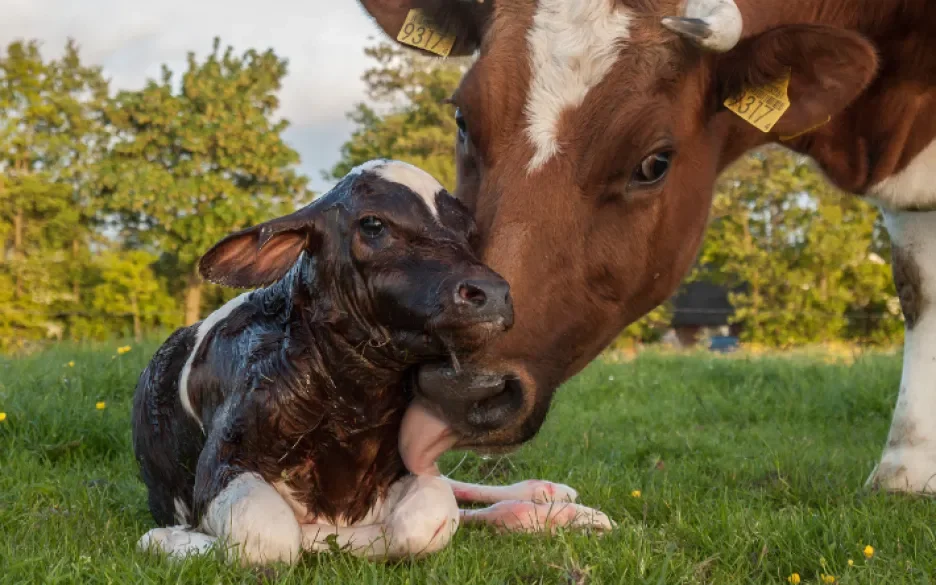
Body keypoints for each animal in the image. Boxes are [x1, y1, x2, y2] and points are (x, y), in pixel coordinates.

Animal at [133, 157, 616, 564]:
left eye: (468, 232)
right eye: (372, 224)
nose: (493, 293)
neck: (353, 402)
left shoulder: (406, 467)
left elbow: (430, 517)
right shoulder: (222, 462)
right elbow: (273, 536)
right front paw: (170, 538)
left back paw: (552, 500)